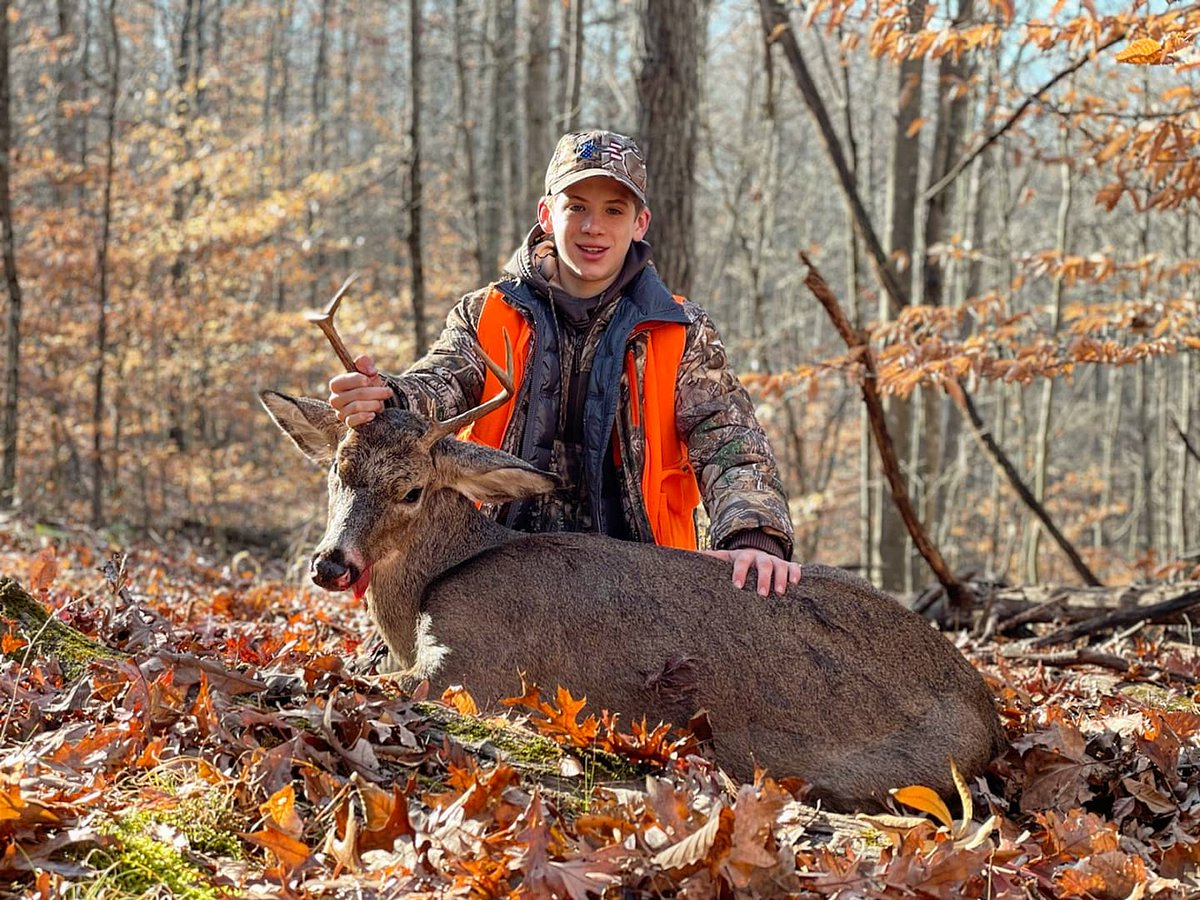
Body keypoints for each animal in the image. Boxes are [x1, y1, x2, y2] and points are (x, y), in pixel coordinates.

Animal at [261, 287, 1006, 813]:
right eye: (337, 470)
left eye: (413, 490)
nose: (332, 563)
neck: (432, 585)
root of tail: (988, 711)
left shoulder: (476, 666)